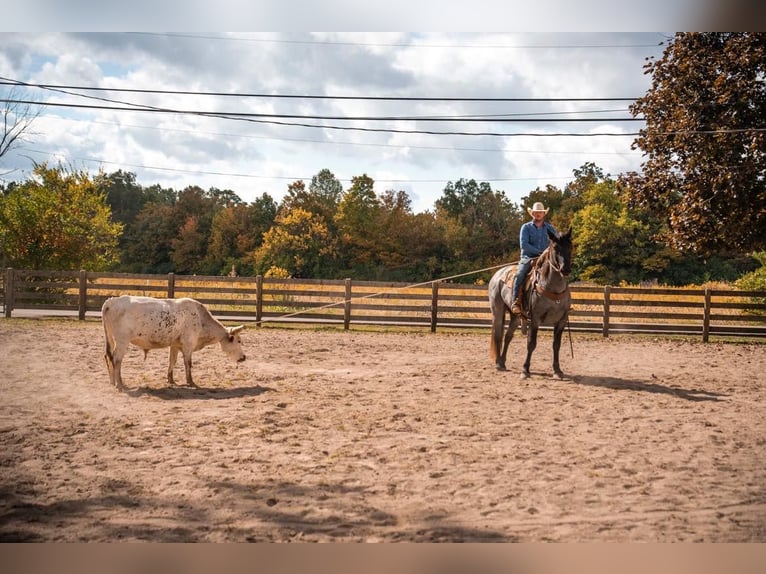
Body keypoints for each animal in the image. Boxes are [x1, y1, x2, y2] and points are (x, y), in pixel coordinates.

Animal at [101, 296, 246, 392]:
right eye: (238, 340)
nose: (244, 358)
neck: (201, 319)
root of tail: (111, 301)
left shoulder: (175, 345)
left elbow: (172, 361)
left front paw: (171, 380)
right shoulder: (188, 345)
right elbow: (188, 364)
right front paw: (191, 382)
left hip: (112, 339)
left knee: (108, 357)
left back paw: (112, 382)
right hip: (122, 341)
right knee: (117, 359)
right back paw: (120, 384)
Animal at [488, 227, 572, 380]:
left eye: (571, 246)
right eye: (555, 248)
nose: (565, 269)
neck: (552, 289)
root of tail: (498, 274)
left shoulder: (561, 321)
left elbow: (556, 345)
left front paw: (557, 370)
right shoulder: (535, 319)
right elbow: (531, 344)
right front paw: (525, 369)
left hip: (516, 316)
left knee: (508, 336)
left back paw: (502, 362)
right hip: (497, 311)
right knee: (498, 335)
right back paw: (498, 363)